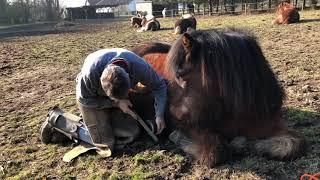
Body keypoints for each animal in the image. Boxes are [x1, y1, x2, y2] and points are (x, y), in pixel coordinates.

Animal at [132, 28, 304, 167]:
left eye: (180, 74)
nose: (168, 114)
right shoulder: (192, 126)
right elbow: (215, 151)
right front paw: (176, 136)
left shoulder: (270, 123)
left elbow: (293, 145)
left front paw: (246, 143)